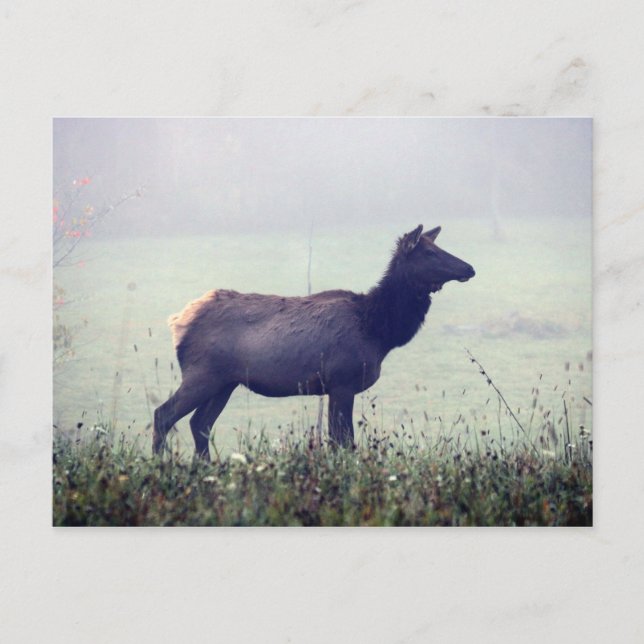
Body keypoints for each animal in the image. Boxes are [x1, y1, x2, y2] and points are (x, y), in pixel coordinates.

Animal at [153, 225, 475, 459]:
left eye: (439, 247)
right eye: (429, 253)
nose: (469, 268)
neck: (379, 331)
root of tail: (179, 322)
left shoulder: (335, 386)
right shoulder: (342, 381)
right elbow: (342, 441)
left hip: (225, 382)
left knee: (200, 424)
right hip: (203, 374)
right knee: (164, 414)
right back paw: (162, 466)